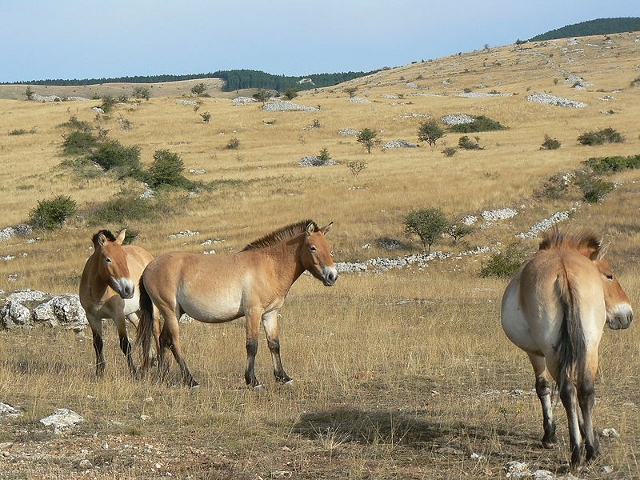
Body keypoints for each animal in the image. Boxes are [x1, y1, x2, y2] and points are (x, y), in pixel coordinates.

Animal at [79, 229, 154, 377]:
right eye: (108, 259)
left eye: (125, 258)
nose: (129, 290)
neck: (98, 293)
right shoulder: (92, 317)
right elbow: (98, 344)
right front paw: (99, 372)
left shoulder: (117, 315)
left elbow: (125, 344)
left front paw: (133, 372)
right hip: (133, 313)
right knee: (143, 331)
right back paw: (149, 360)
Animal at [136, 220, 338, 389]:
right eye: (312, 247)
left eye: (328, 247)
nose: (332, 276)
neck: (269, 266)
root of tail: (149, 267)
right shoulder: (253, 312)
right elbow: (252, 345)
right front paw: (253, 381)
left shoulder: (270, 313)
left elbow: (274, 344)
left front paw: (283, 377)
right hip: (169, 311)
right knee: (174, 342)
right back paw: (191, 380)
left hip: (176, 312)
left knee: (163, 340)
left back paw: (163, 376)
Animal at [501, 227, 633, 469]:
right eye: (609, 275)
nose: (628, 315)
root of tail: (563, 270)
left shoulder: (537, 354)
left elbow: (543, 387)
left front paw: (550, 435)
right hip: (590, 348)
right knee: (585, 390)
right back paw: (591, 450)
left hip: (554, 353)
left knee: (568, 391)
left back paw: (577, 452)